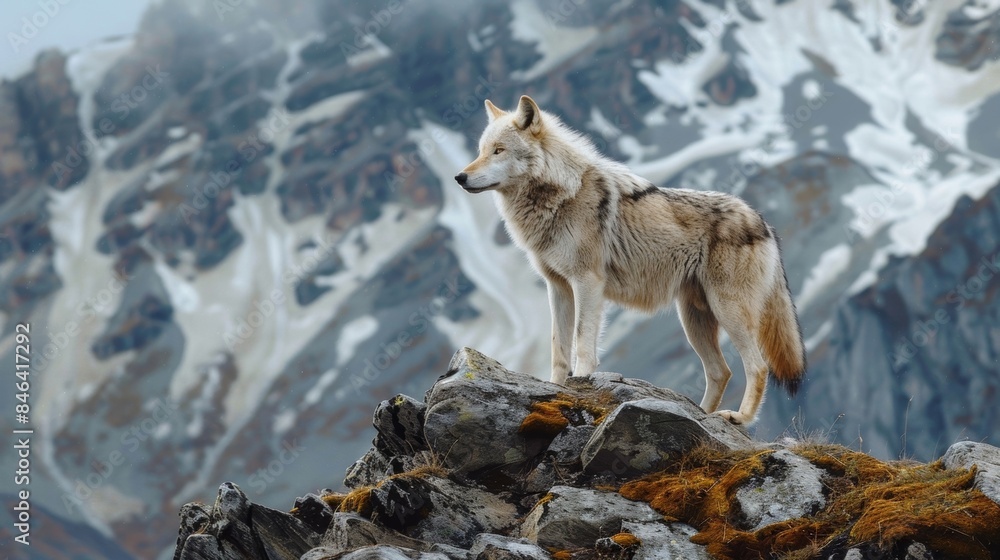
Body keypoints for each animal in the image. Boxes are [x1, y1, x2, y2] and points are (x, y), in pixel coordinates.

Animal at [454, 95, 806, 425]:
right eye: (481, 150)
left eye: (499, 151)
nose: (459, 177)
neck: (560, 195)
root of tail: (763, 221)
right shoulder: (558, 287)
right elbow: (559, 349)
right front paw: (553, 389)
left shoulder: (587, 283)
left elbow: (582, 342)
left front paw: (581, 383)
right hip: (693, 318)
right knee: (721, 371)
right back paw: (700, 415)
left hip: (727, 311)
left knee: (758, 367)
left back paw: (739, 418)